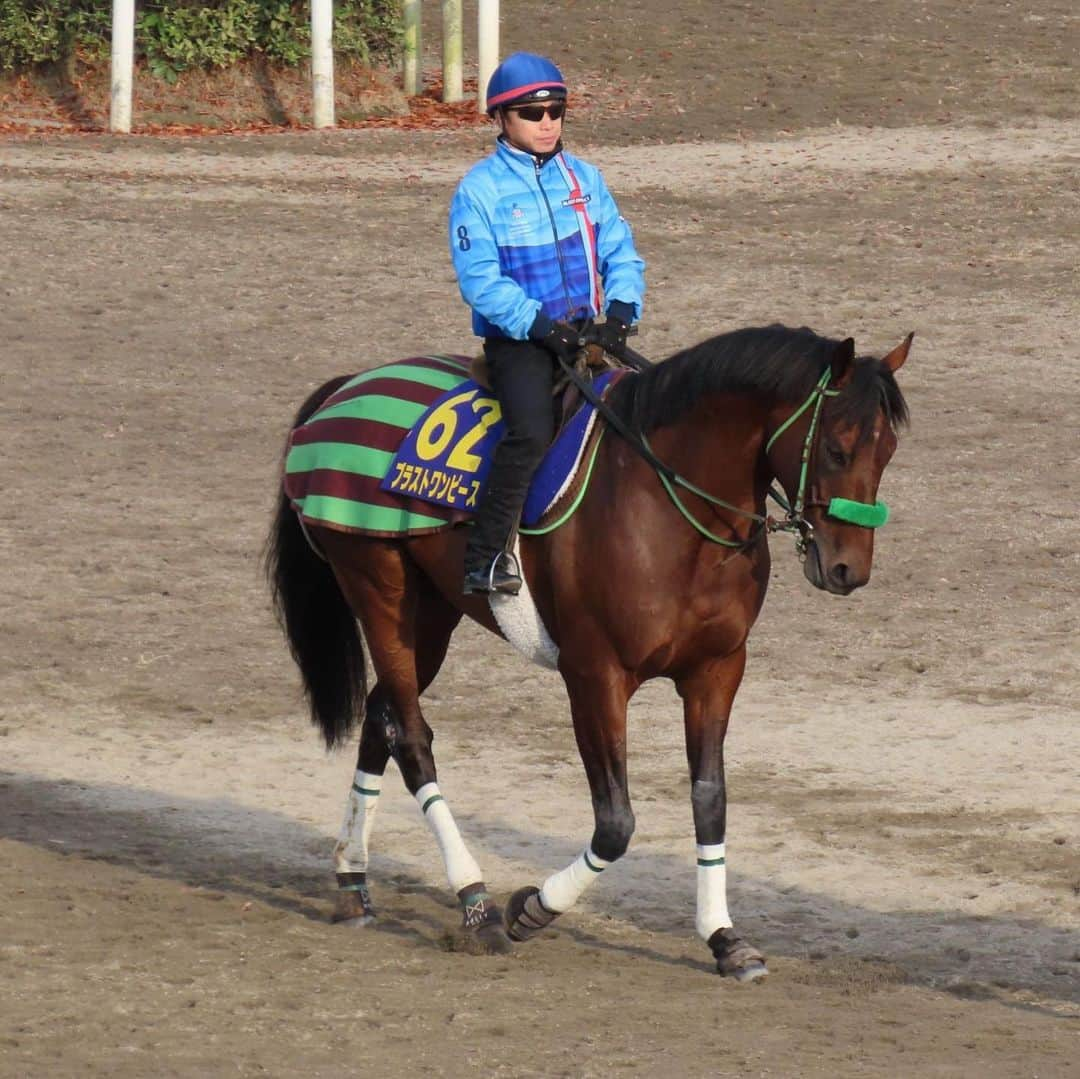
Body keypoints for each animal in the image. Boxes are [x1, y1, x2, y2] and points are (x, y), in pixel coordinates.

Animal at [267, 319, 911, 980]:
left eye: (887, 451)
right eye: (837, 449)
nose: (848, 569)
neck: (668, 512)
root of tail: (346, 387)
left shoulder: (717, 670)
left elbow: (710, 798)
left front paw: (723, 937)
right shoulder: (595, 676)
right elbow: (616, 823)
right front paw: (531, 908)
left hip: (432, 615)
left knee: (381, 718)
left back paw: (353, 882)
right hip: (379, 590)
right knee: (412, 739)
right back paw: (475, 903)